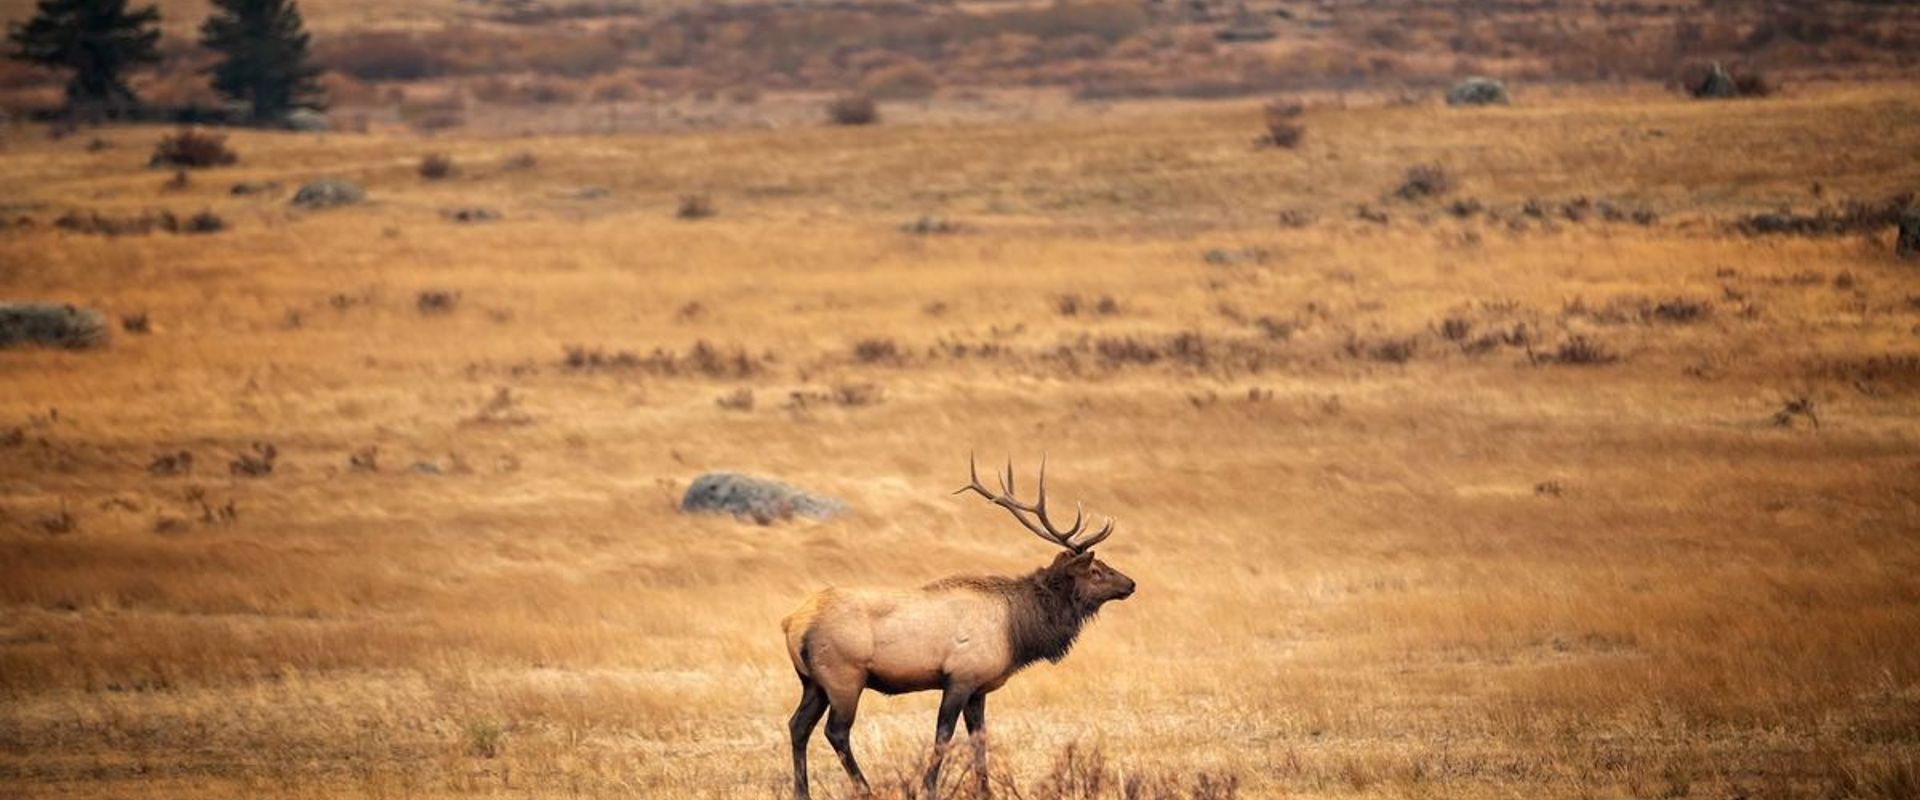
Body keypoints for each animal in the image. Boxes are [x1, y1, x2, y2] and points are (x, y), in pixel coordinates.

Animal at [780, 456, 1137, 799]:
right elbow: (943, 736)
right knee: (836, 731)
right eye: (1096, 570)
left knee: (797, 725)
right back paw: (865, 788)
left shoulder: (978, 687)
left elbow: (979, 738)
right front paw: (928, 787)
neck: (1017, 630)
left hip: (812, 682)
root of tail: (792, 623)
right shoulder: (960, 677)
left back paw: (802, 790)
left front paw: (986, 789)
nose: (1131, 583)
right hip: (844, 676)